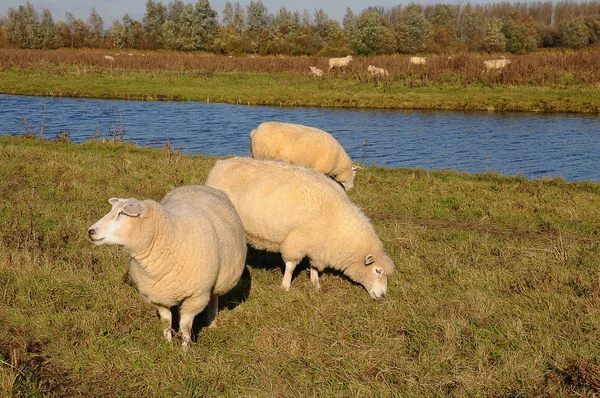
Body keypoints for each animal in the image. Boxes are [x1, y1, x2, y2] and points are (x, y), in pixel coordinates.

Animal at [87, 185, 246, 350]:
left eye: (122, 213)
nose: (90, 231)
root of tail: (199, 186)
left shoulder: (196, 296)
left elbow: (185, 325)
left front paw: (185, 349)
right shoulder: (157, 296)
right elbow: (166, 321)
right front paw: (168, 344)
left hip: (214, 282)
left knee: (213, 298)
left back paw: (212, 322)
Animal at [204, 157, 396, 300]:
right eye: (378, 270)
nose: (382, 296)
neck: (336, 223)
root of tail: (219, 165)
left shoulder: (317, 245)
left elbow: (314, 266)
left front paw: (315, 284)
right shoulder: (296, 241)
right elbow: (290, 266)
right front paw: (285, 286)